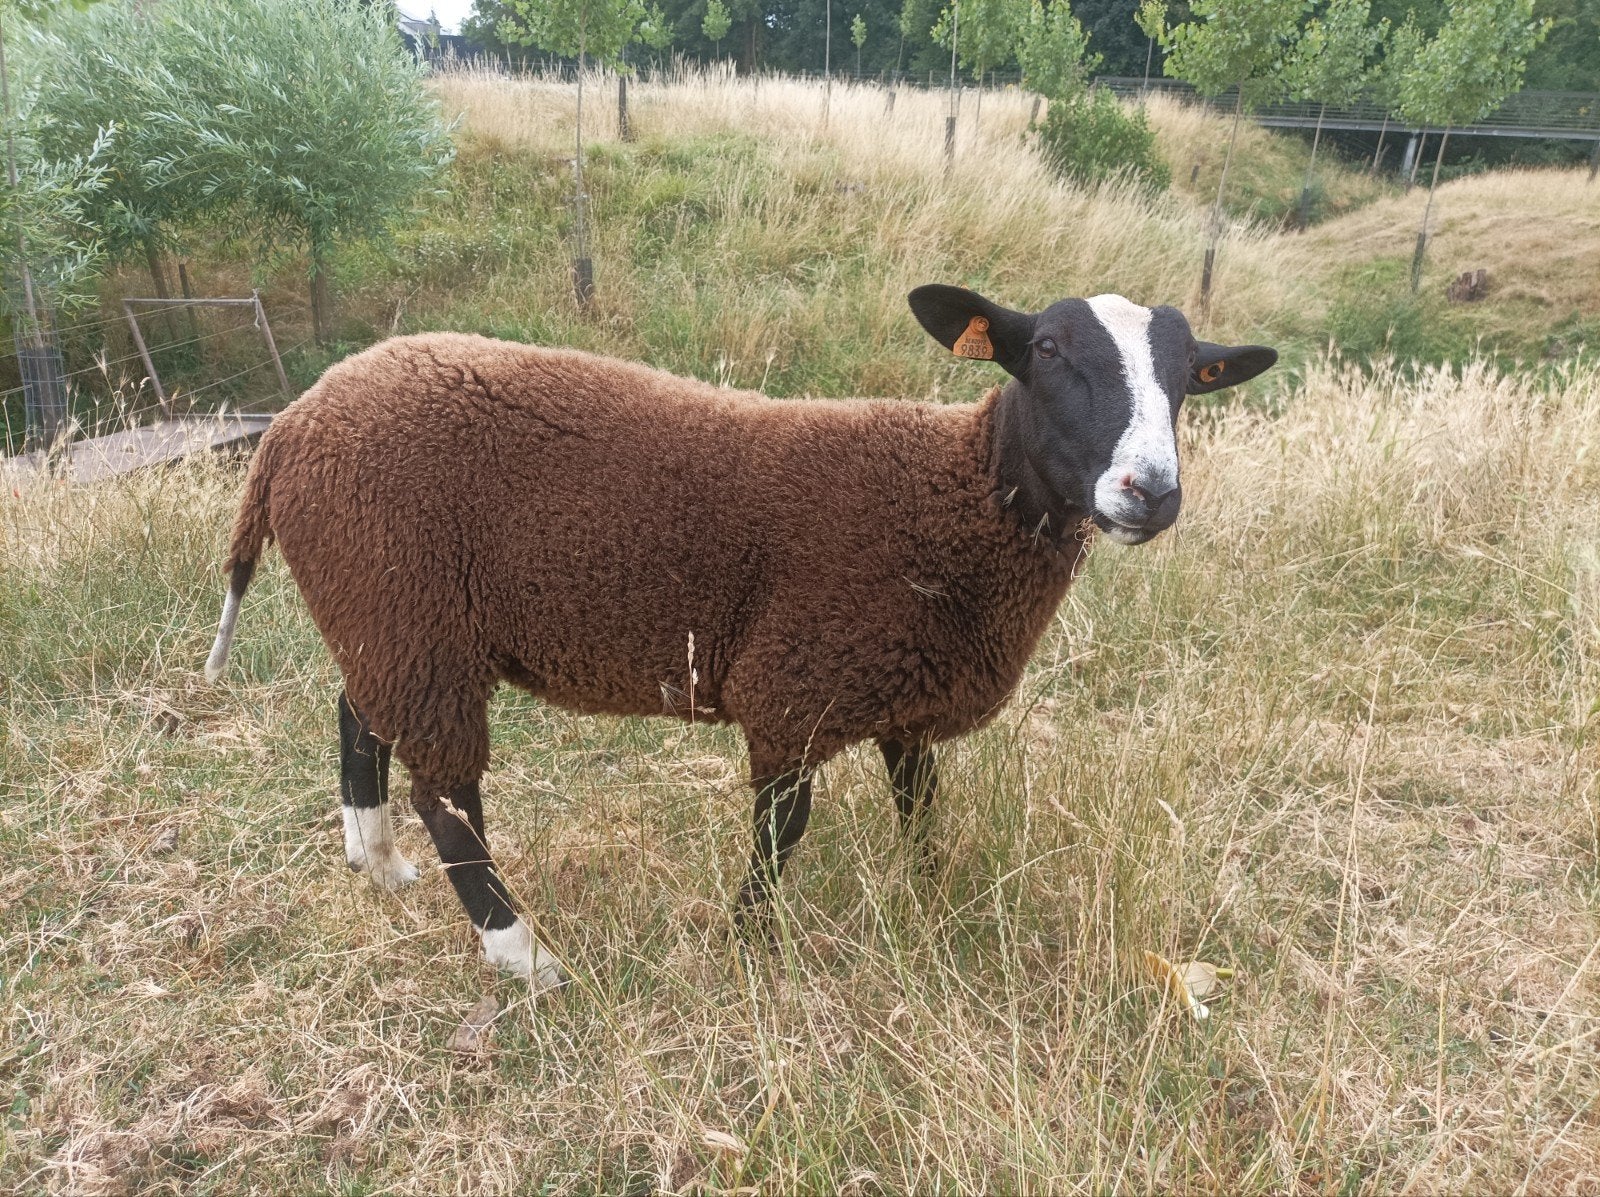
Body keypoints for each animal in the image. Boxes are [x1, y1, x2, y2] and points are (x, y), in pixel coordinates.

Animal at [204, 284, 1276, 987]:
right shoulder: (795, 685)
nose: (1152, 491)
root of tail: (289, 428)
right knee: (447, 794)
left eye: (1190, 378)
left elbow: (923, 811)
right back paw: (525, 955)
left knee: (359, 718)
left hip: (386, 614)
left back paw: (377, 861)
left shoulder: (906, 696)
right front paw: (747, 945)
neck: (955, 496)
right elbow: (780, 829)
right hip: (406, 607)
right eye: (1046, 350)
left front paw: (935, 908)